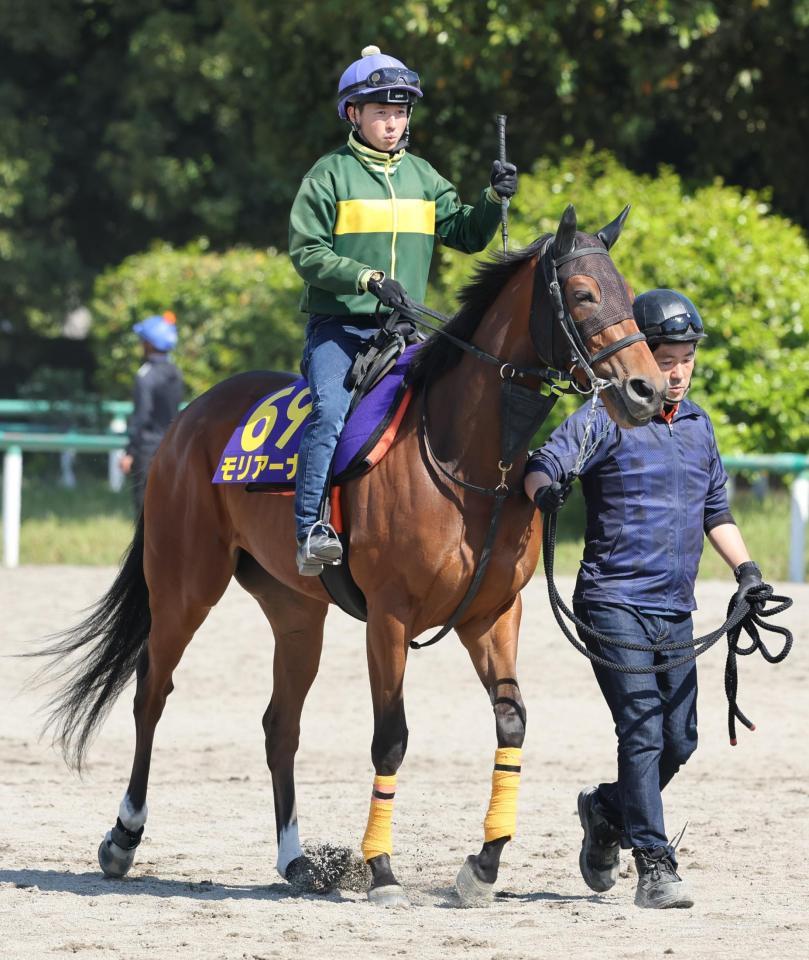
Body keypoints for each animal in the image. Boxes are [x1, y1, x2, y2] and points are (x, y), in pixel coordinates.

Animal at [38, 202, 664, 908]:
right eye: (583, 294)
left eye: (627, 294)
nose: (646, 390)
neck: (468, 460)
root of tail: (189, 418)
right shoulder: (389, 617)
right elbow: (390, 739)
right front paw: (383, 869)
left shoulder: (493, 617)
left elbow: (512, 725)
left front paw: (483, 864)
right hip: (183, 589)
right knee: (152, 693)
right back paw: (123, 837)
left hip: (295, 614)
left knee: (279, 724)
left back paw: (295, 860)